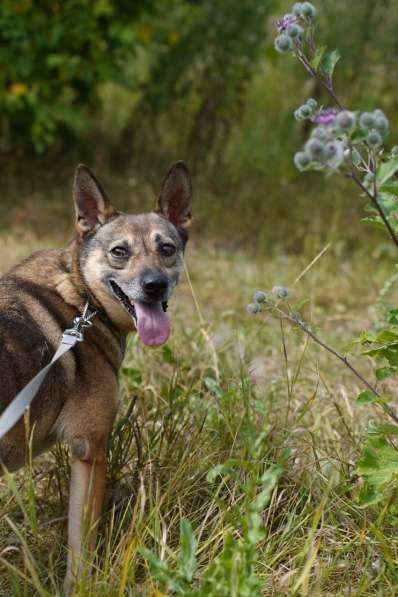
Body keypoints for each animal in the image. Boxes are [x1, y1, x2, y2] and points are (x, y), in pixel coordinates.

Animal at [0, 162, 193, 592]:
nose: (154, 285)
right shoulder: (90, 450)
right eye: (119, 252)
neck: (80, 296)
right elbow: (81, 548)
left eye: (167, 249)